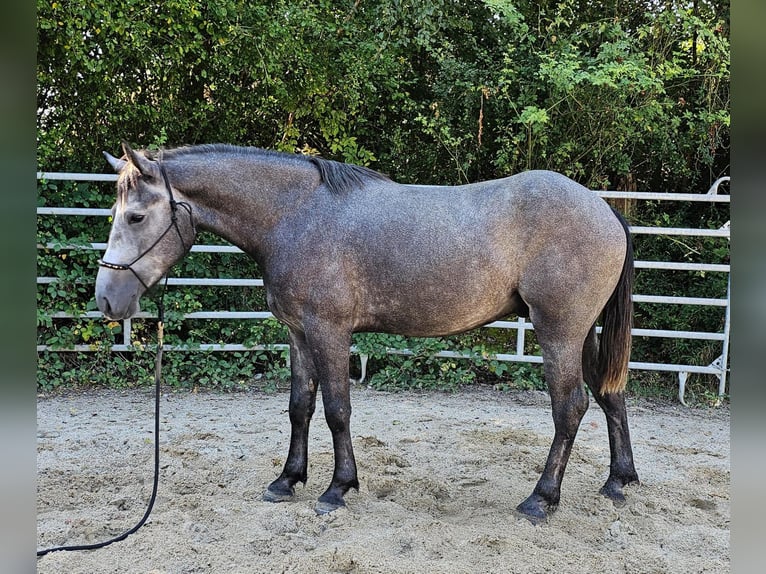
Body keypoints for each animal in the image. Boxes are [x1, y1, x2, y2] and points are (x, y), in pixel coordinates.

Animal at [94, 142, 640, 524]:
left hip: (559, 333)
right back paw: (619, 482)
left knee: (570, 408)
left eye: (136, 216)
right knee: (609, 396)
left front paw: (337, 488)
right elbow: (300, 407)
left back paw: (540, 499)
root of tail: (605, 209)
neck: (295, 215)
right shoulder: (298, 334)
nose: (106, 300)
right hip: (584, 334)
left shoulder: (329, 332)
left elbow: (337, 409)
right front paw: (287, 480)